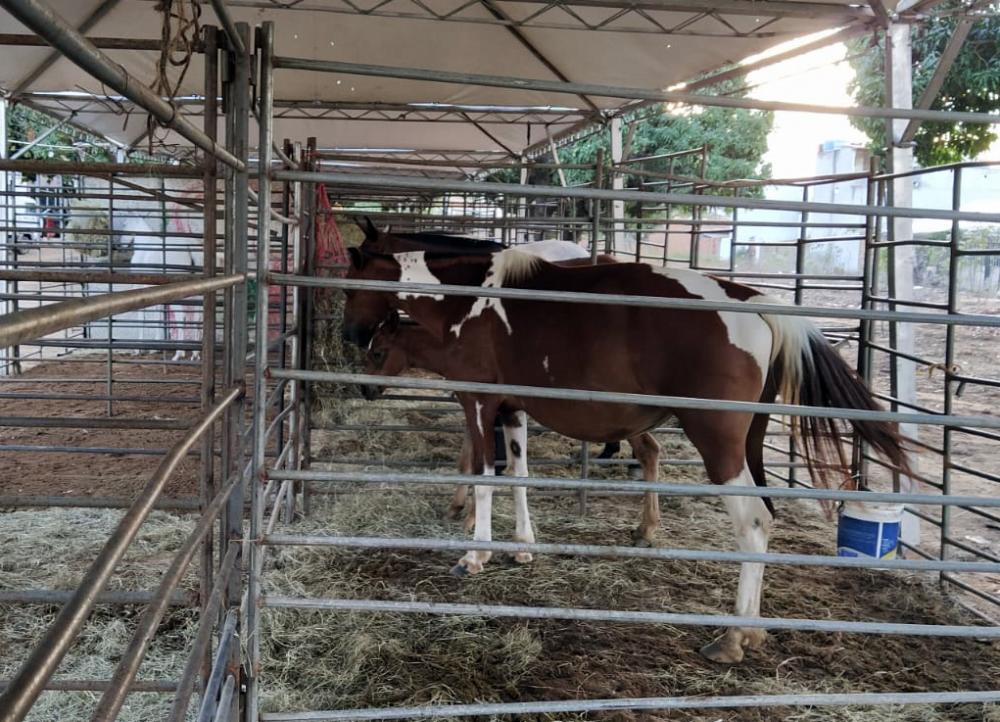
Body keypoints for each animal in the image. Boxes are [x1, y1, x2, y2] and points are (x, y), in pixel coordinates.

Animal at [362, 311, 662, 546]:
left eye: (377, 353)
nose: (365, 389)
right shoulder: (476, 408)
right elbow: (466, 461)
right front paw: (455, 508)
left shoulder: (487, 410)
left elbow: (484, 465)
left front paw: (471, 520)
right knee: (650, 450)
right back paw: (644, 529)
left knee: (648, 450)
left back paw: (646, 528)